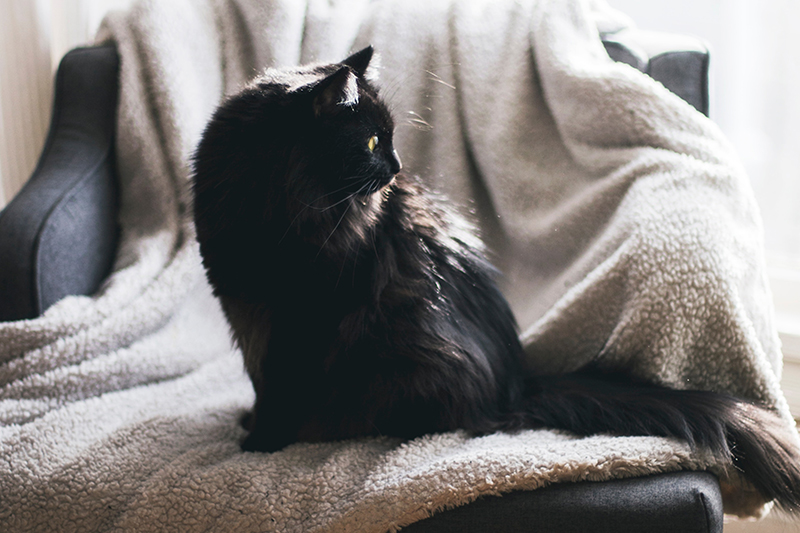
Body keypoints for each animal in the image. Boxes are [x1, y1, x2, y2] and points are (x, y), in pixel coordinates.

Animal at [192, 47, 800, 510]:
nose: (396, 168)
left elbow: (282, 388)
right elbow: (263, 382)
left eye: (391, 139)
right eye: (370, 143)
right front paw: (253, 425)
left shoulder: (303, 318)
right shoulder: (247, 308)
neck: (264, 209)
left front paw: (262, 443)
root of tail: (516, 382)